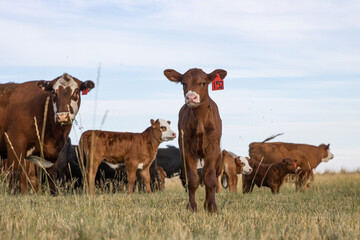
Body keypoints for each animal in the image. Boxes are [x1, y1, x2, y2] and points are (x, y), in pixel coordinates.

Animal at [165, 67, 226, 212]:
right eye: (183, 83)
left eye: (203, 82)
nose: (191, 97)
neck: (200, 124)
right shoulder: (186, 149)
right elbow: (193, 180)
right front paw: (192, 207)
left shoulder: (214, 150)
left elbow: (210, 179)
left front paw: (212, 207)